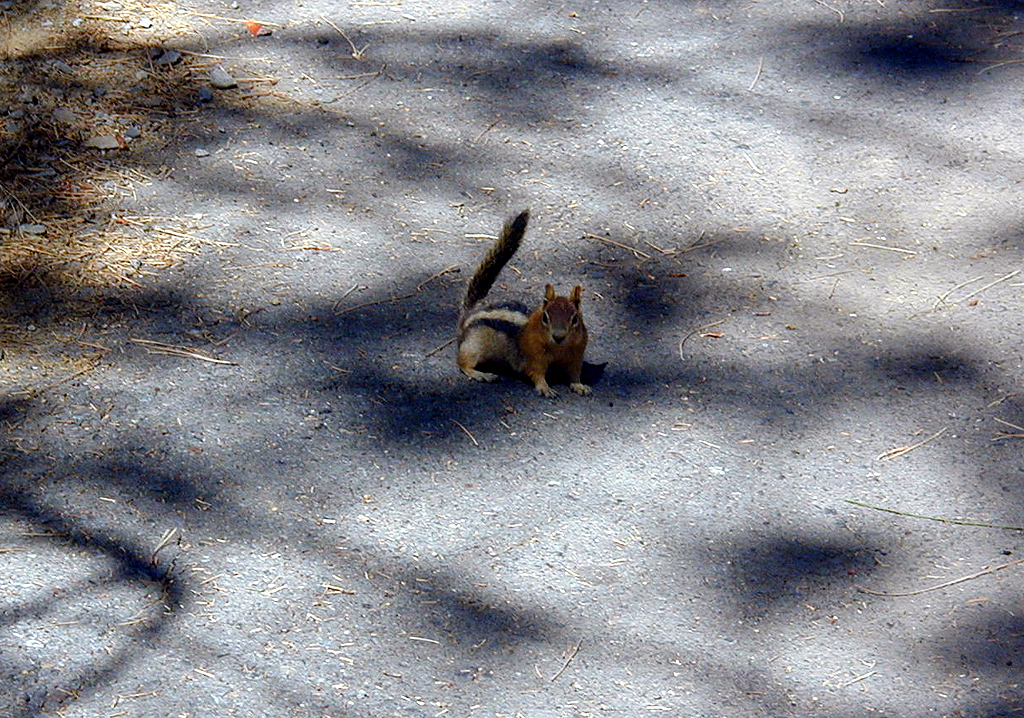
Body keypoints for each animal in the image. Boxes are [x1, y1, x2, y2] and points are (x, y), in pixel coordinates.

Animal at [457, 209, 592, 398]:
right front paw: (545, 388)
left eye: (575, 319)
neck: (558, 348)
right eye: (545, 318)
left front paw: (580, 386)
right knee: (463, 362)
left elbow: (574, 373)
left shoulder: (576, 355)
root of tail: (470, 311)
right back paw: (481, 374)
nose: (558, 336)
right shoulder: (534, 356)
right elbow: (536, 373)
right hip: (474, 345)